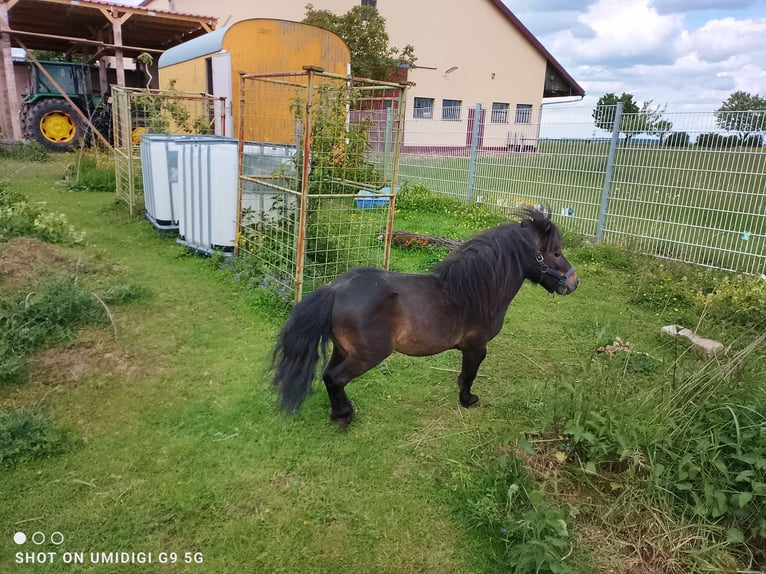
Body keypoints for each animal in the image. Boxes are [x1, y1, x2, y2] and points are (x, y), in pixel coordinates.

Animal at [271, 208, 578, 426]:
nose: (573, 283)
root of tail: (334, 290)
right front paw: (468, 400)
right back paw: (346, 415)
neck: (474, 290)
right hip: (367, 355)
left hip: (343, 350)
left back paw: (338, 413)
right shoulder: (476, 347)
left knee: (327, 376)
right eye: (555, 252)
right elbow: (469, 375)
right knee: (335, 378)